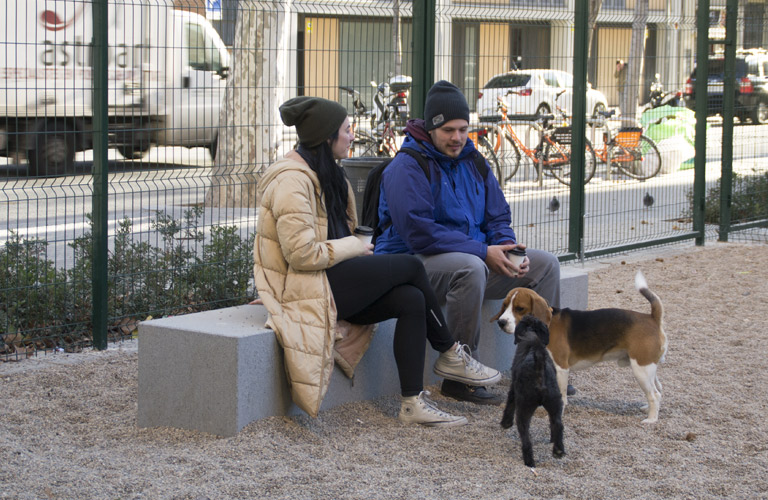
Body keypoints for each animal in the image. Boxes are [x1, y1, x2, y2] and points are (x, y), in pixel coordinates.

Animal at [492, 272, 664, 424]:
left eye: (520, 308)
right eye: (505, 306)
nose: (501, 322)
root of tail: (652, 318)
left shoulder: (561, 368)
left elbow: (560, 395)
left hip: (641, 369)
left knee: (654, 394)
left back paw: (651, 419)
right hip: (647, 368)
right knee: (658, 390)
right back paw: (647, 408)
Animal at [500, 314, 568, 466]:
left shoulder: (513, 389)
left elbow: (509, 404)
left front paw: (505, 423)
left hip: (524, 409)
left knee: (526, 438)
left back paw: (529, 461)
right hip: (555, 403)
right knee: (558, 424)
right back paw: (558, 450)